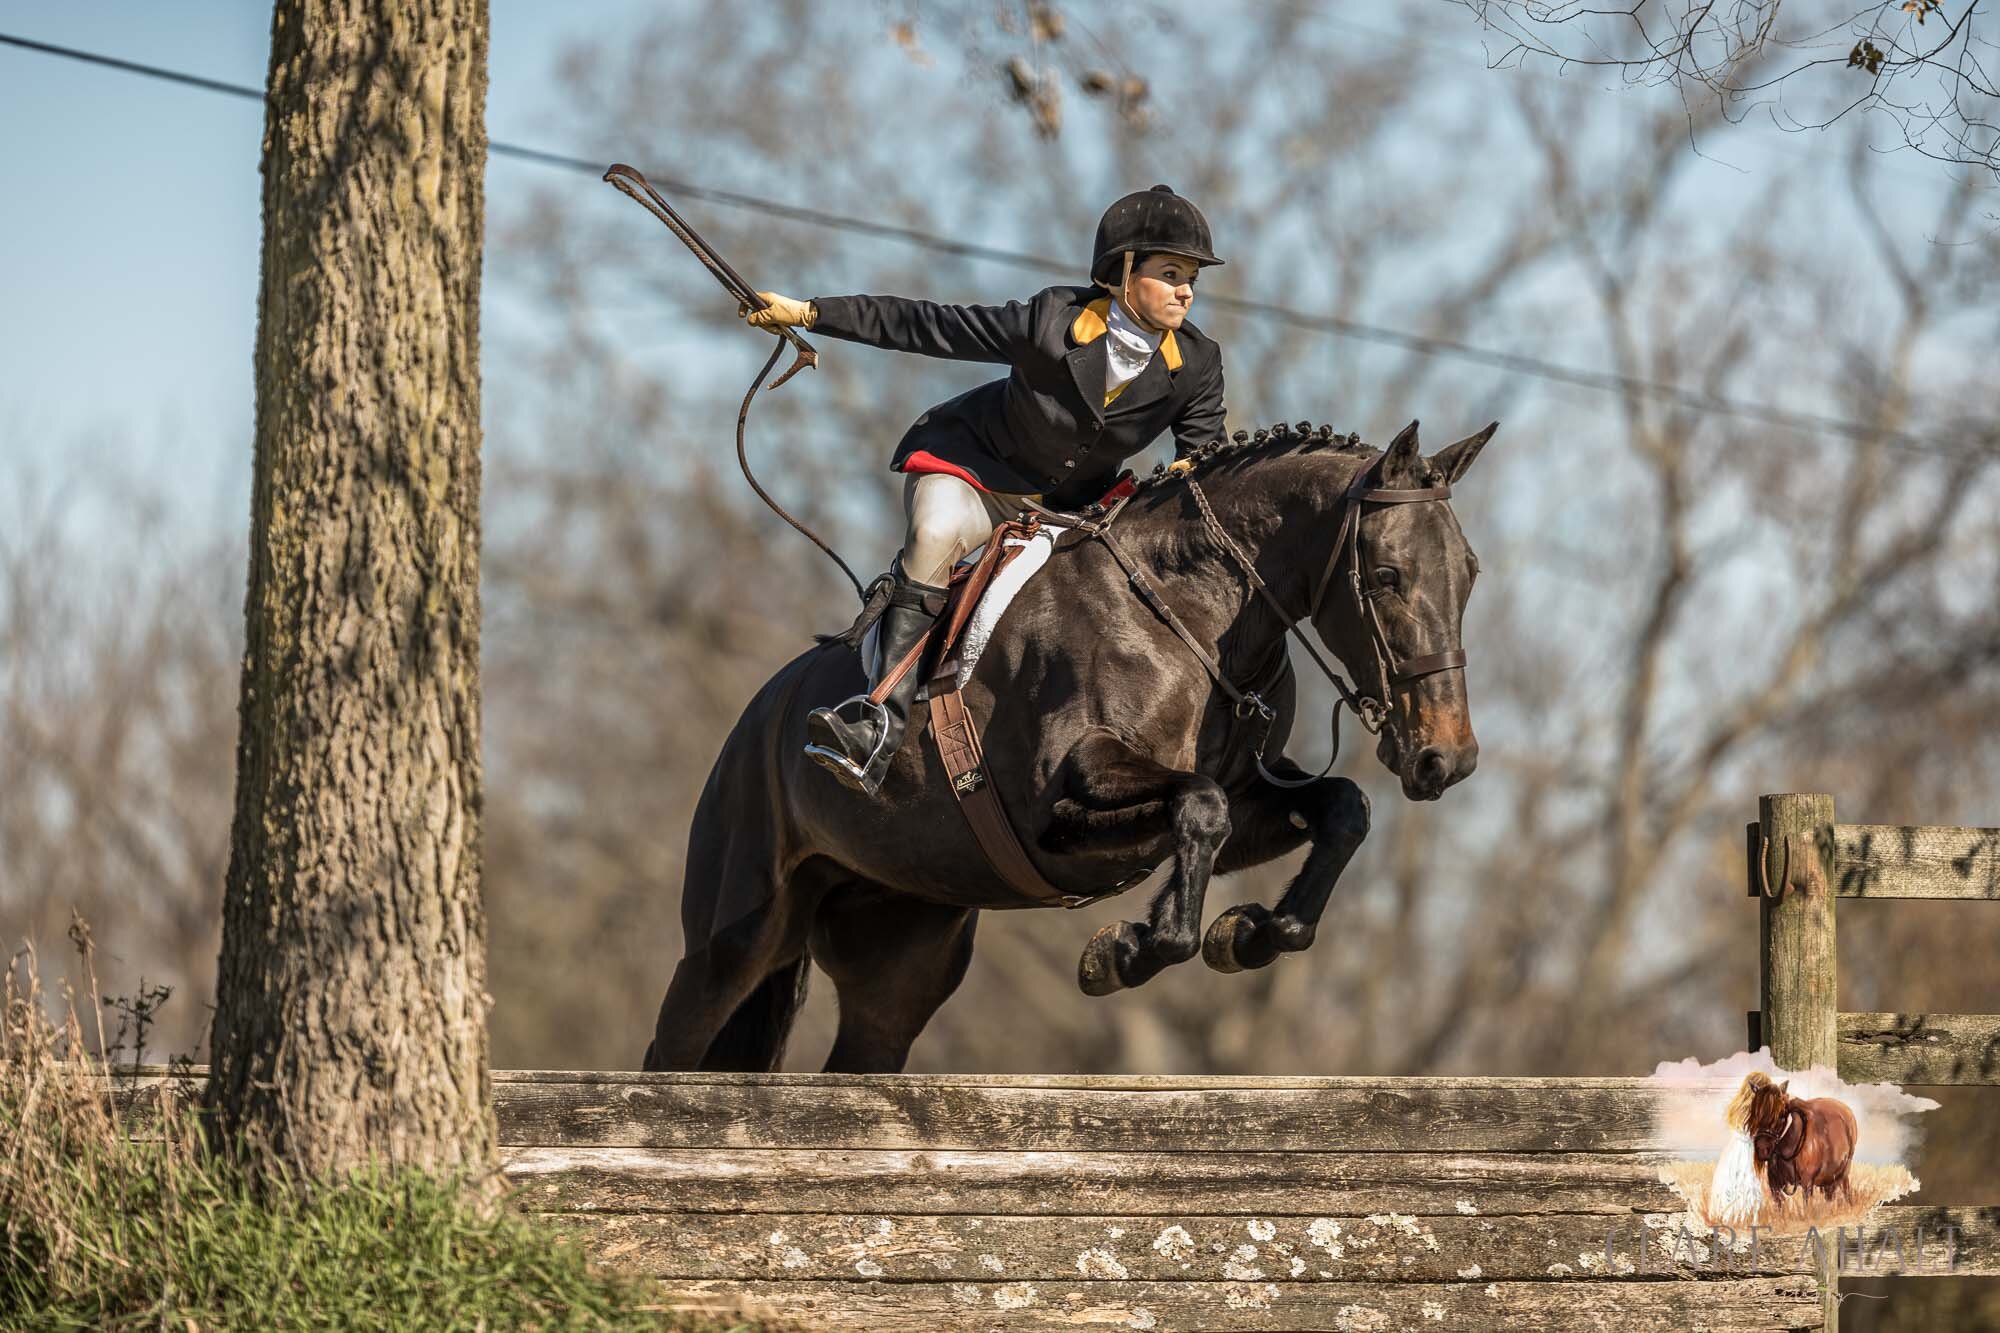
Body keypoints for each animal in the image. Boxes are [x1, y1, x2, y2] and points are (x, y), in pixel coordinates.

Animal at [648, 418, 1496, 1072]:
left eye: (1470, 573)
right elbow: (1200, 807)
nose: (1446, 758)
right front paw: (1127, 949)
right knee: (678, 1042)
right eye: (1386, 575)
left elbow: (1338, 809)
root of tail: (763, 712)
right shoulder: (1062, 800)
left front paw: (1247, 934)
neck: (1186, 610)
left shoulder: (1251, 796)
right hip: (736, 934)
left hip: (898, 954)